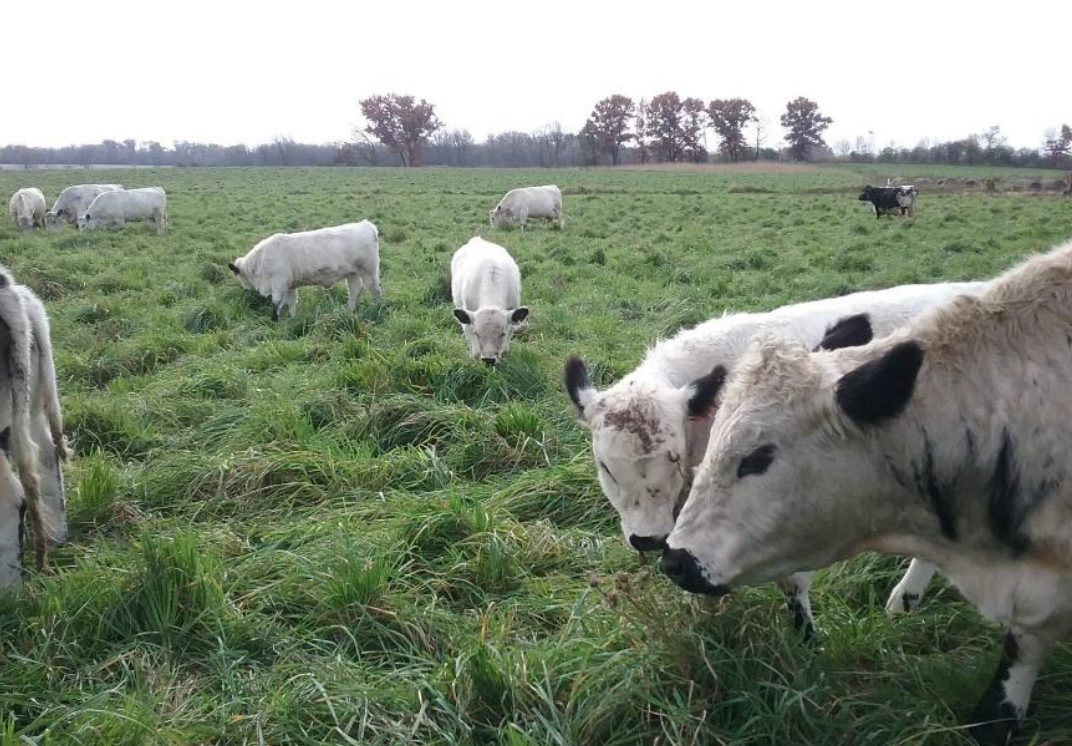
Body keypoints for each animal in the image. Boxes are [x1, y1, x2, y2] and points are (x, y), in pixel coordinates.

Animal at [228, 221, 381, 321]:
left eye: (238, 275)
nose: (245, 289)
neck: (261, 259)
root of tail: (366, 225)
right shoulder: (289, 286)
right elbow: (291, 303)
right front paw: (292, 319)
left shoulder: (278, 284)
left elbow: (276, 303)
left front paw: (274, 321)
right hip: (352, 274)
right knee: (354, 291)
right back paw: (350, 311)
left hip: (369, 272)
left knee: (375, 290)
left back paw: (377, 308)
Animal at [451, 236, 528, 365]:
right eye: (477, 333)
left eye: (502, 334)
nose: (488, 359)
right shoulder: (468, 321)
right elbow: (475, 350)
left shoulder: (513, 321)